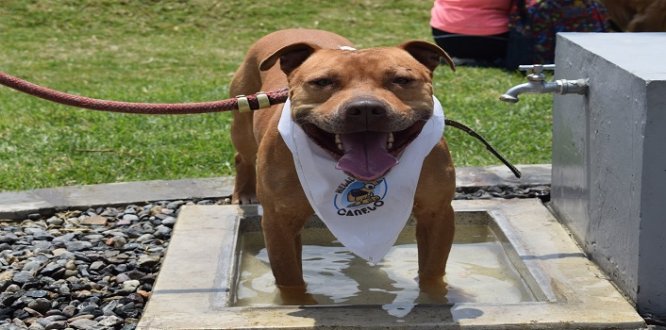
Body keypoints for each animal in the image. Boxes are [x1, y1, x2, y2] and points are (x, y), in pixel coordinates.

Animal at [230, 29, 456, 302]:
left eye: (402, 79)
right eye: (322, 82)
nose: (366, 108)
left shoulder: (437, 213)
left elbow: (432, 270)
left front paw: (434, 297)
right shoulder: (278, 220)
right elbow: (289, 277)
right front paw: (298, 302)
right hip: (242, 121)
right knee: (242, 157)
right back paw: (244, 192)